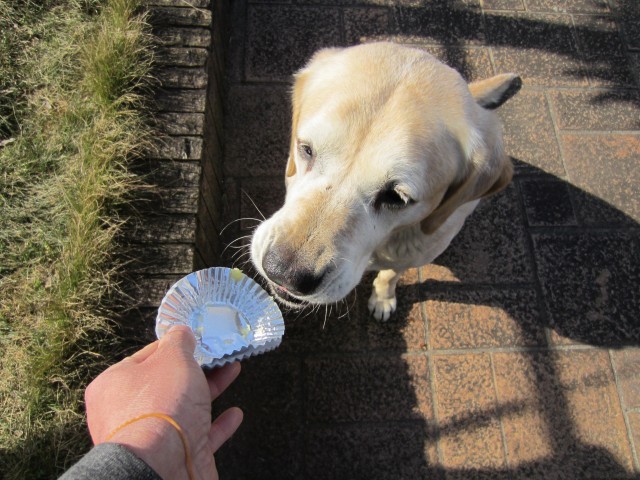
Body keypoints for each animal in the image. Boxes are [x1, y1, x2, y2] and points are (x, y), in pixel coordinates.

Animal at [250, 41, 520, 318]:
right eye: (306, 149)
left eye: (396, 197)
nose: (283, 273)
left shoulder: (411, 255)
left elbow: (390, 275)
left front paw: (382, 299)